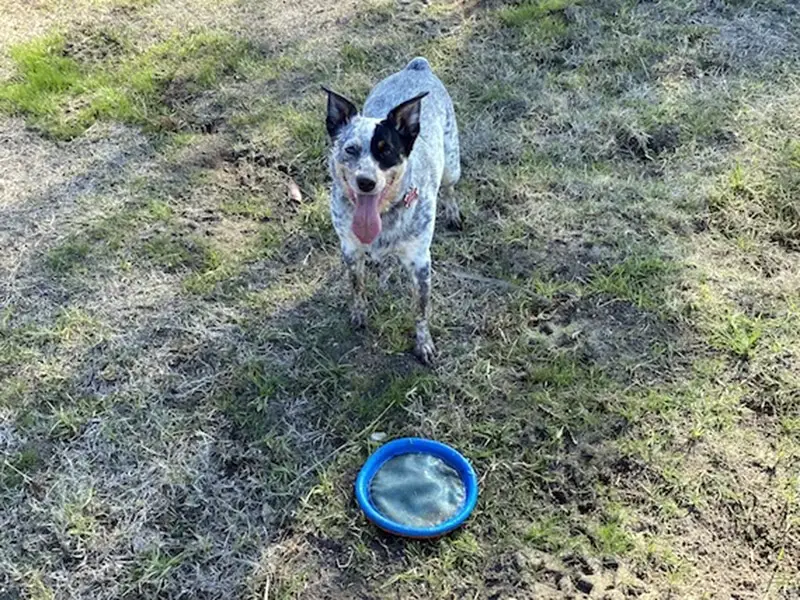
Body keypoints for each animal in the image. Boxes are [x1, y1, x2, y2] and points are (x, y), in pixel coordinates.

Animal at [324, 57, 462, 366]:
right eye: (350, 149)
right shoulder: (349, 250)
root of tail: (417, 67)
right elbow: (357, 286)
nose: (366, 182)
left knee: (449, 188)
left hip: (452, 164)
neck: (385, 216)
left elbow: (421, 311)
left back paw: (453, 212)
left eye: (386, 151)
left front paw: (424, 344)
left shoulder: (420, 263)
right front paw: (359, 314)